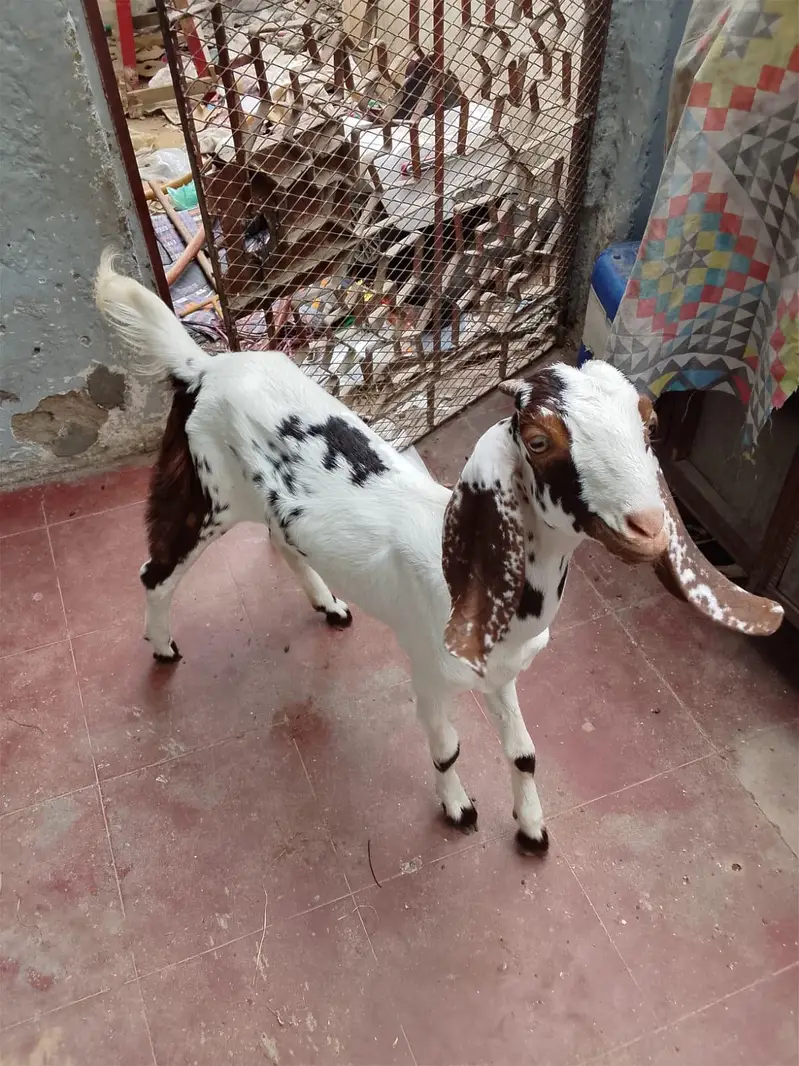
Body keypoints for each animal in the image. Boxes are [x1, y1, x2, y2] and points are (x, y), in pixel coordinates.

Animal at [95, 252, 784, 854]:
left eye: (650, 426)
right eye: (539, 441)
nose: (649, 528)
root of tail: (201, 365)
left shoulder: (501, 675)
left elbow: (524, 752)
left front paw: (531, 828)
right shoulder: (428, 670)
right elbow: (449, 747)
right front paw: (458, 809)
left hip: (264, 505)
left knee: (279, 541)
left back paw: (329, 605)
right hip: (206, 493)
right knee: (155, 571)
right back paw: (164, 648)